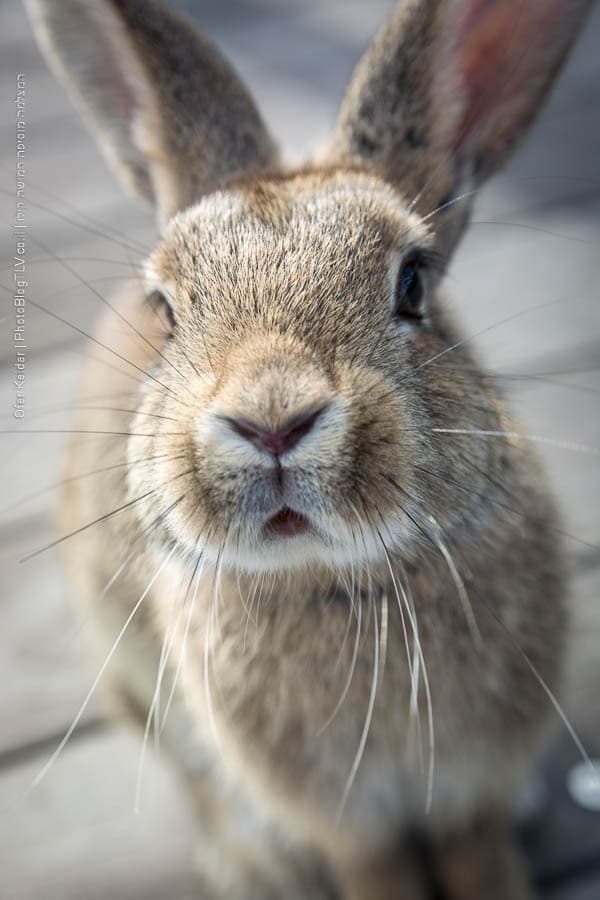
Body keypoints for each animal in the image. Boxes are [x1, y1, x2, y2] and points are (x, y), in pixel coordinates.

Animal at [24, 0, 596, 896]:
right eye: (167, 311)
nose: (272, 420)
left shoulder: (474, 791)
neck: (337, 580)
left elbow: (484, 861)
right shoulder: (350, 827)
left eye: (412, 283)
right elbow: (377, 875)